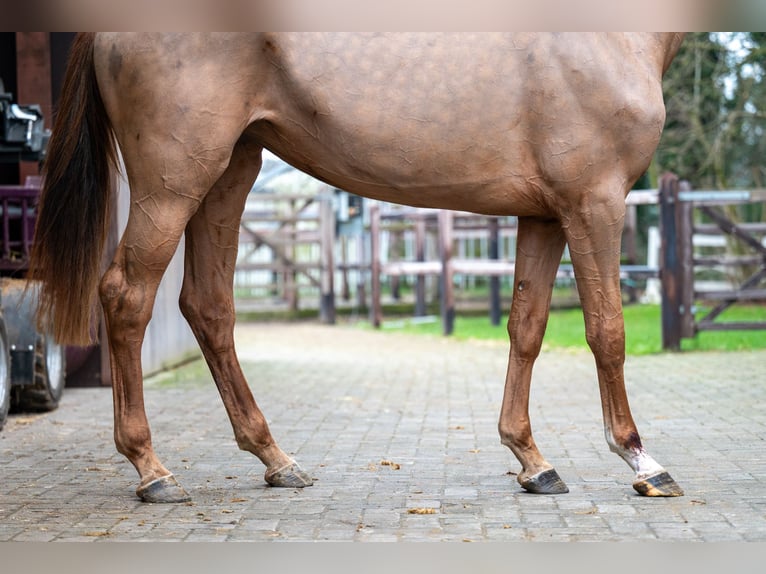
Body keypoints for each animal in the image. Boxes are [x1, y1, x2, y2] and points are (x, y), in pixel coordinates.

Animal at [33, 33, 688, 504]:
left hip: (230, 171)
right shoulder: (594, 202)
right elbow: (607, 331)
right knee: (127, 296)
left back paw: (276, 460)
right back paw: (153, 471)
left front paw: (532, 461)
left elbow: (526, 330)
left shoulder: (545, 214)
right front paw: (642, 461)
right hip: (173, 183)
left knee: (207, 305)